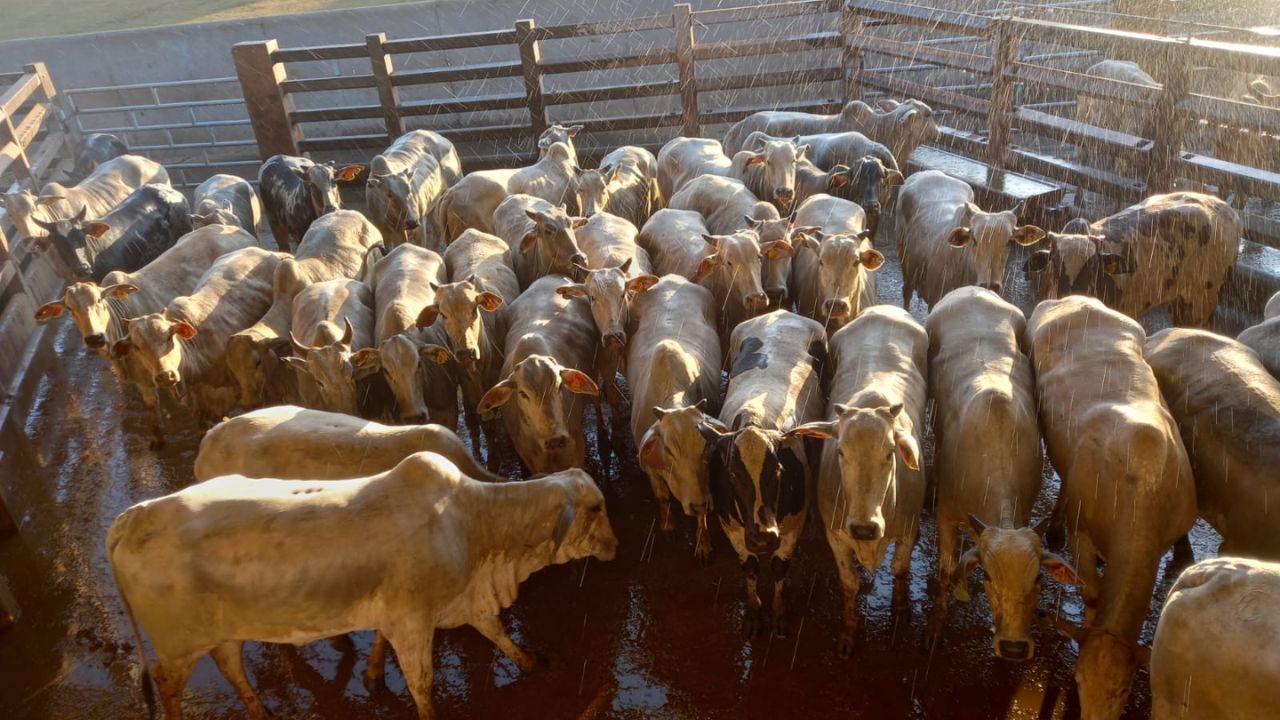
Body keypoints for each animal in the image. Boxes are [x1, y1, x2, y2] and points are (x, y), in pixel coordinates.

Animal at [783, 304, 926, 653]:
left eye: (890, 452)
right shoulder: (835, 535)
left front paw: (901, 612)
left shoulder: (908, 530)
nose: (864, 528)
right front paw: (848, 633)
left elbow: (900, 569)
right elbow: (850, 582)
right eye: (841, 451)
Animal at [1024, 293, 1192, 717]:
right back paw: (1054, 527)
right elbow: (1090, 593)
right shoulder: (1084, 531)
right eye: (1078, 681)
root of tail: (1075, 298)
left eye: (1125, 691)